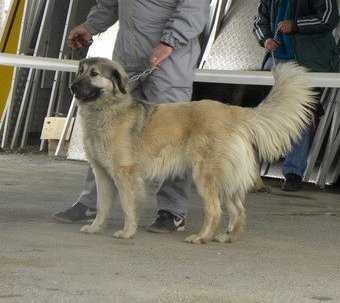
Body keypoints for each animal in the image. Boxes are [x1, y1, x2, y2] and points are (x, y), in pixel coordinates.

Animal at [70, 58, 314, 245]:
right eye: (80, 71)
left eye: (94, 74)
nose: (72, 87)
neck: (107, 108)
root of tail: (234, 113)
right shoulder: (102, 173)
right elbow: (102, 205)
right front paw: (95, 227)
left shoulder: (125, 175)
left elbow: (128, 206)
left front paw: (127, 232)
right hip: (225, 181)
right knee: (238, 210)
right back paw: (226, 237)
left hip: (205, 176)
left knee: (215, 211)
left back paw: (201, 237)